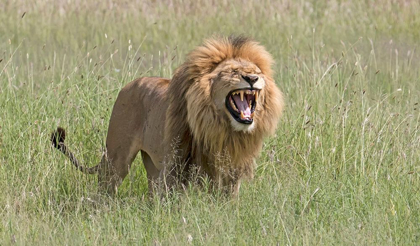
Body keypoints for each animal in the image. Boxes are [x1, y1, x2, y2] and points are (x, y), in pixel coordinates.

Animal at [50, 35, 284, 196]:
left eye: (257, 72)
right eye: (233, 72)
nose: (252, 78)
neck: (222, 129)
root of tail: (128, 85)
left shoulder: (231, 170)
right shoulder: (177, 165)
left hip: (151, 164)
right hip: (117, 159)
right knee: (105, 188)